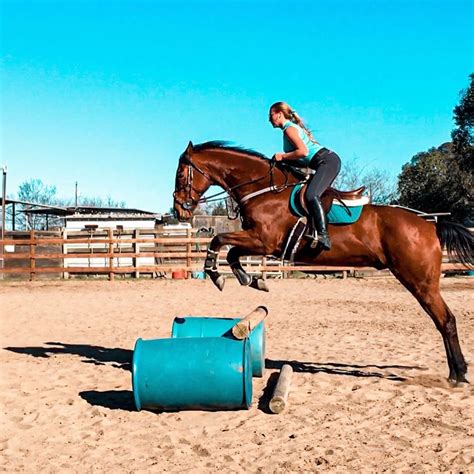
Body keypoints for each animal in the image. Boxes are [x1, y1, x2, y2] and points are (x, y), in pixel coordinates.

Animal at [174, 141, 474, 386]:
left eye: (180, 174)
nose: (178, 210)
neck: (263, 190)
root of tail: (430, 225)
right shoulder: (258, 241)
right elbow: (231, 252)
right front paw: (252, 279)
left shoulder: (264, 241)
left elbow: (220, 241)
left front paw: (217, 274)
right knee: (443, 320)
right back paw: (455, 373)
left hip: (419, 281)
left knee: (446, 320)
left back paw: (458, 374)